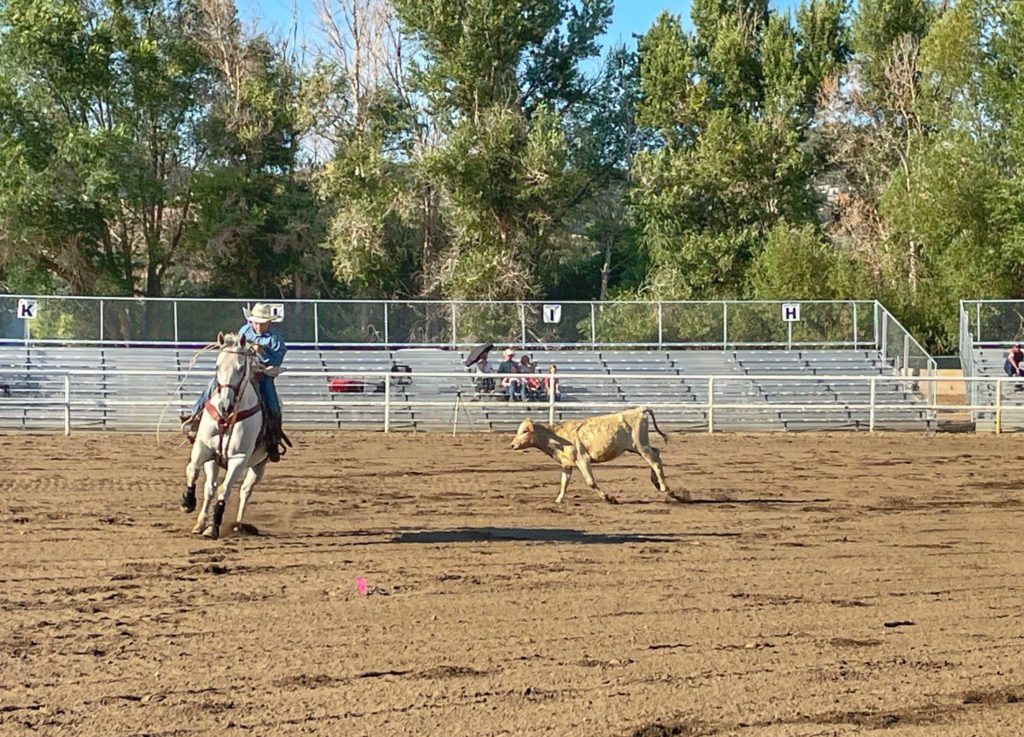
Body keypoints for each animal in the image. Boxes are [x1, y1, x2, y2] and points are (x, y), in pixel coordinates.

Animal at [182, 331, 268, 536]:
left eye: (241, 367)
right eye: (217, 366)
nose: (225, 406)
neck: (228, 418)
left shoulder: (239, 458)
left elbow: (225, 490)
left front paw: (214, 527)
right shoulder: (204, 447)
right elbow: (192, 470)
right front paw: (188, 502)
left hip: (259, 465)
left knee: (245, 490)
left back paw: (238, 524)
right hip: (213, 460)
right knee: (209, 488)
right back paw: (200, 523)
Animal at [509, 405, 688, 503]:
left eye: (524, 431)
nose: (512, 444)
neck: (558, 436)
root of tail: (639, 410)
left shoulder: (583, 459)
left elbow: (590, 482)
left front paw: (609, 498)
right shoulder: (567, 464)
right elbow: (564, 483)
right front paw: (558, 500)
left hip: (640, 445)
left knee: (654, 460)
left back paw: (665, 488)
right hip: (637, 447)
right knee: (656, 453)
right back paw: (657, 483)